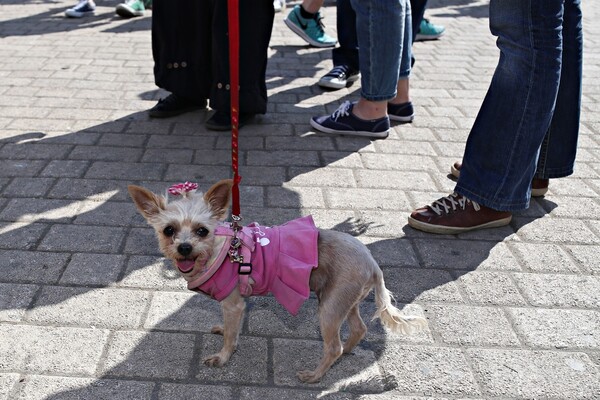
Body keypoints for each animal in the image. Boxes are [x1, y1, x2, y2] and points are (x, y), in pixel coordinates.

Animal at [127, 180, 426, 382]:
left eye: (202, 231)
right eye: (169, 230)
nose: (185, 248)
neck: (219, 251)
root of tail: (373, 263)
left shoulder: (233, 303)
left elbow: (231, 337)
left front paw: (223, 357)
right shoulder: (235, 305)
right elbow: (231, 329)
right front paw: (224, 332)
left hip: (329, 308)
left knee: (333, 346)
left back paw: (315, 375)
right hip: (343, 300)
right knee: (359, 329)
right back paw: (346, 355)